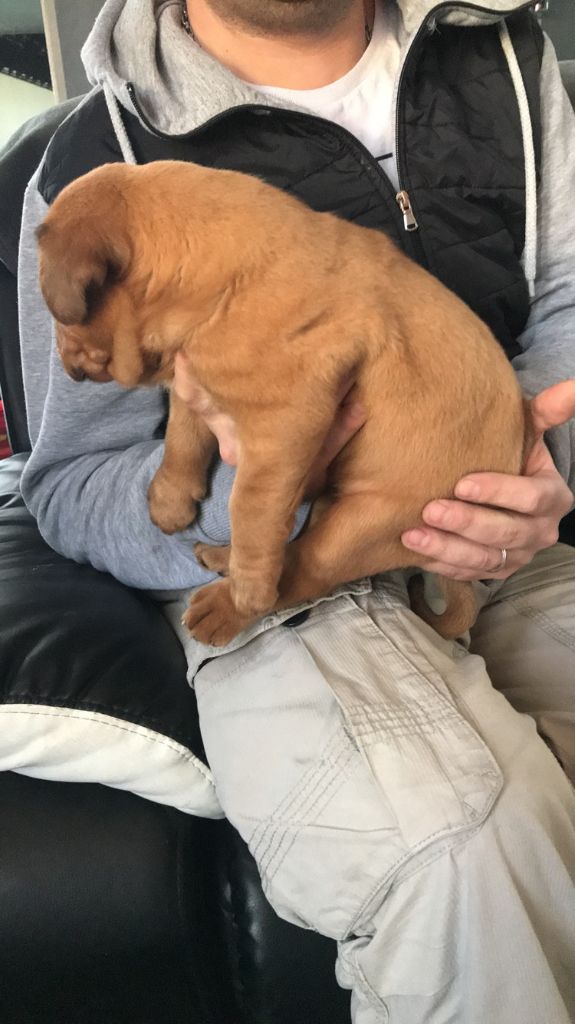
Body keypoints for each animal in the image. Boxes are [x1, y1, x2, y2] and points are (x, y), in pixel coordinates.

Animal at [38, 159, 536, 647]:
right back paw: (221, 558)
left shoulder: (285, 423)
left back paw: (226, 607)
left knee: (303, 572)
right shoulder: (193, 375)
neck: (218, 282)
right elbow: (182, 435)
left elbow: (249, 507)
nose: (64, 365)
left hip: (365, 523)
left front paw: (247, 590)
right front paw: (169, 501)